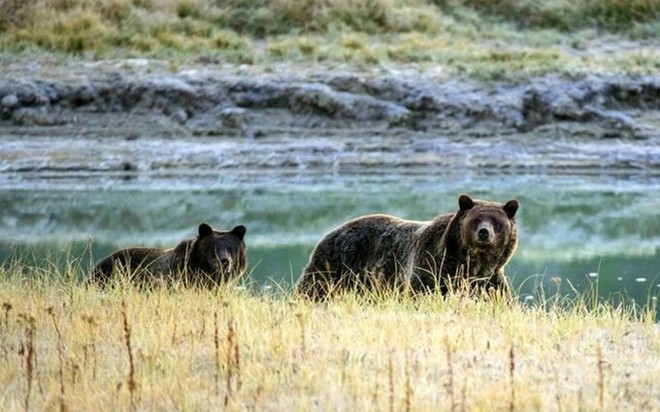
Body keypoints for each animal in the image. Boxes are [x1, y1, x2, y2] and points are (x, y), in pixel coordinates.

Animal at [296, 193, 520, 300]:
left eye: (495, 221)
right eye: (476, 219)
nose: (484, 233)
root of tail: (331, 232)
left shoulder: (490, 280)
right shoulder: (432, 268)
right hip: (335, 265)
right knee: (312, 289)